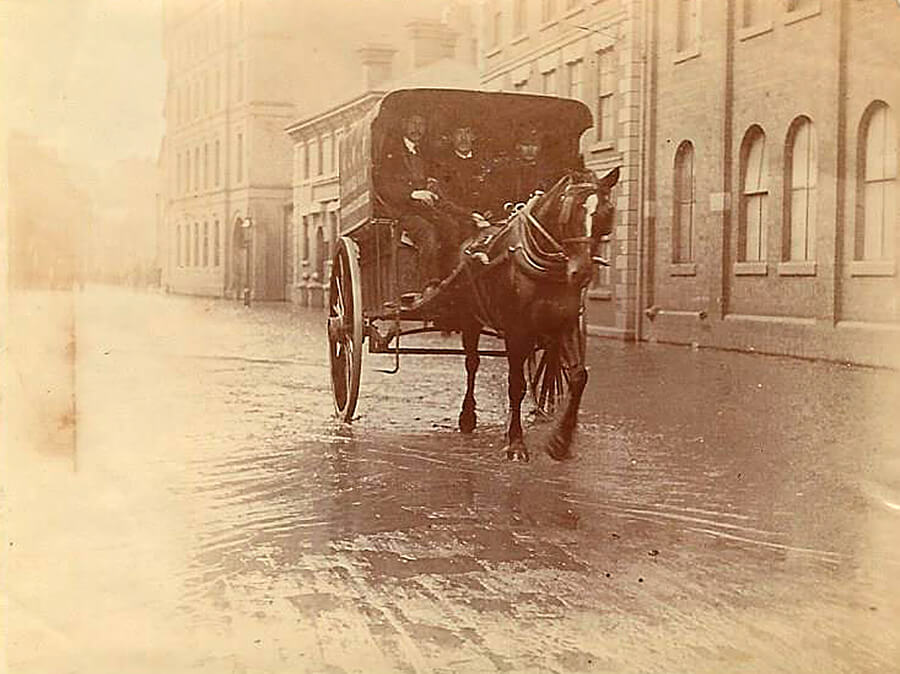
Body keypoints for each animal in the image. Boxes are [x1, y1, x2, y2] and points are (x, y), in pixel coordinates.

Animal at [458, 167, 620, 462]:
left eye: (605, 213)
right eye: (570, 212)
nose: (581, 273)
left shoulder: (566, 322)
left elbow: (578, 377)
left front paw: (560, 441)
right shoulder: (516, 329)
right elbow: (516, 385)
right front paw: (516, 443)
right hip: (470, 320)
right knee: (473, 364)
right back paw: (467, 416)